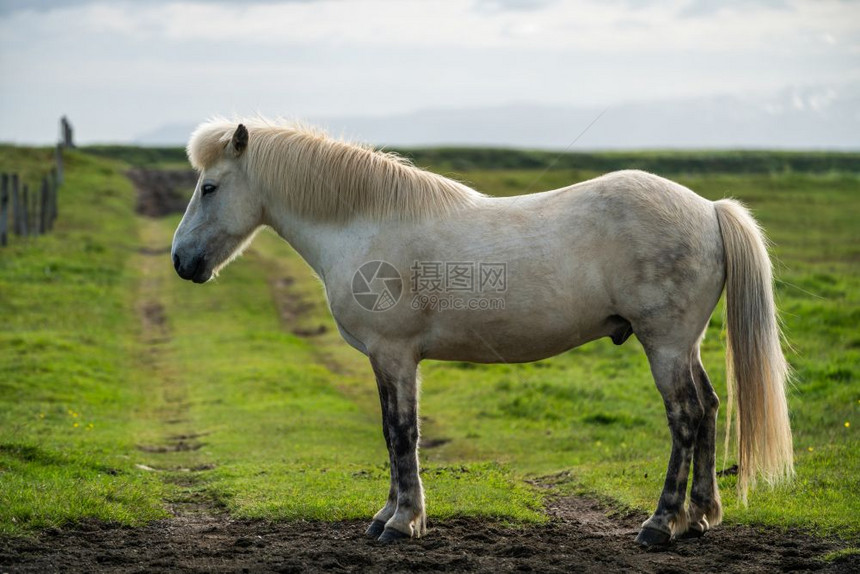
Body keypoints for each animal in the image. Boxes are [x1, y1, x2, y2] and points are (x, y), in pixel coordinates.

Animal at [173, 118, 792, 548]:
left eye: (209, 187)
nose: (181, 261)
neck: (365, 223)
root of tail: (707, 208)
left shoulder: (393, 354)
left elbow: (401, 433)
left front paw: (402, 522)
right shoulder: (389, 360)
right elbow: (394, 434)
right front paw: (389, 516)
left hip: (663, 344)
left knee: (685, 416)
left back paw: (661, 524)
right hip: (684, 345)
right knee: (709, 409)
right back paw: (700, 517)